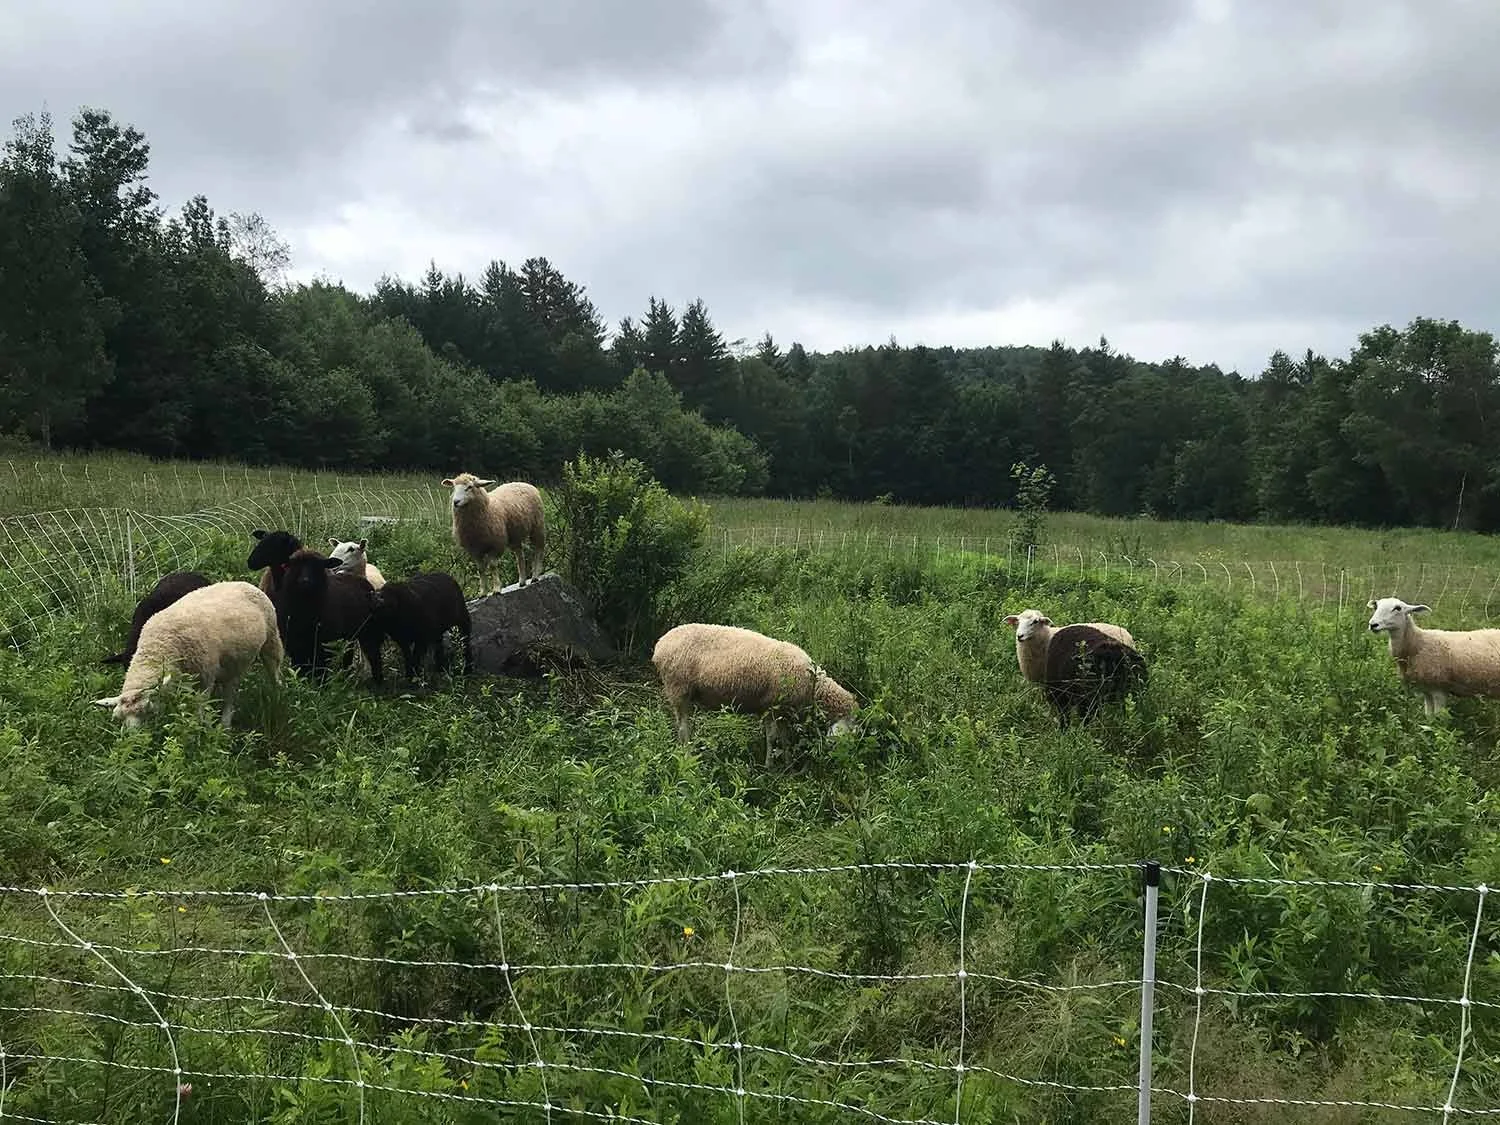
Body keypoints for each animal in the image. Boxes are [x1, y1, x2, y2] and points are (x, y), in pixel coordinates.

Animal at [92, 580, 282, 729]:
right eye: (120, 719)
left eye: (146, 712)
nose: (135, 739)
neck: (159, 646)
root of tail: (243, 583)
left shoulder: (205, 678)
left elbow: (199, 709)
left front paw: (200, 730)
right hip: (233, 663)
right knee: (231, 691)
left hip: (271, 638)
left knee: (272, 669)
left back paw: (276, 694)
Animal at [272, 548, 385, 683]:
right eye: (294, 564)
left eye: (318, 566)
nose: (305, 581)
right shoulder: (294, 644)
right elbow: (300, 667)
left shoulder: (325, 645)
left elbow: (321, 669)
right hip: (350, 635)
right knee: (349, 653)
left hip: (368, 631)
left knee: (374, 657)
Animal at [651, 623, 857, 766]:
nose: (844, 761)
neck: (813, 685)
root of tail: (660, 644)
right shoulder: (771, 706)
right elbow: (772, 737)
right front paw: (769, 765)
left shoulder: (781, 710)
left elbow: (784, 738)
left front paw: (788, 763)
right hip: (678, 689)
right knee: (683, 729)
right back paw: (688, 758)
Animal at [1366, 596, 1500, 716]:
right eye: (1376, 606)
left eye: (1397, 608)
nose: (1373, 624)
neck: (1417, 643)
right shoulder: (1426, 690)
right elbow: (1428, 717)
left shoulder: (1439, 689)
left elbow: (1438, 718)